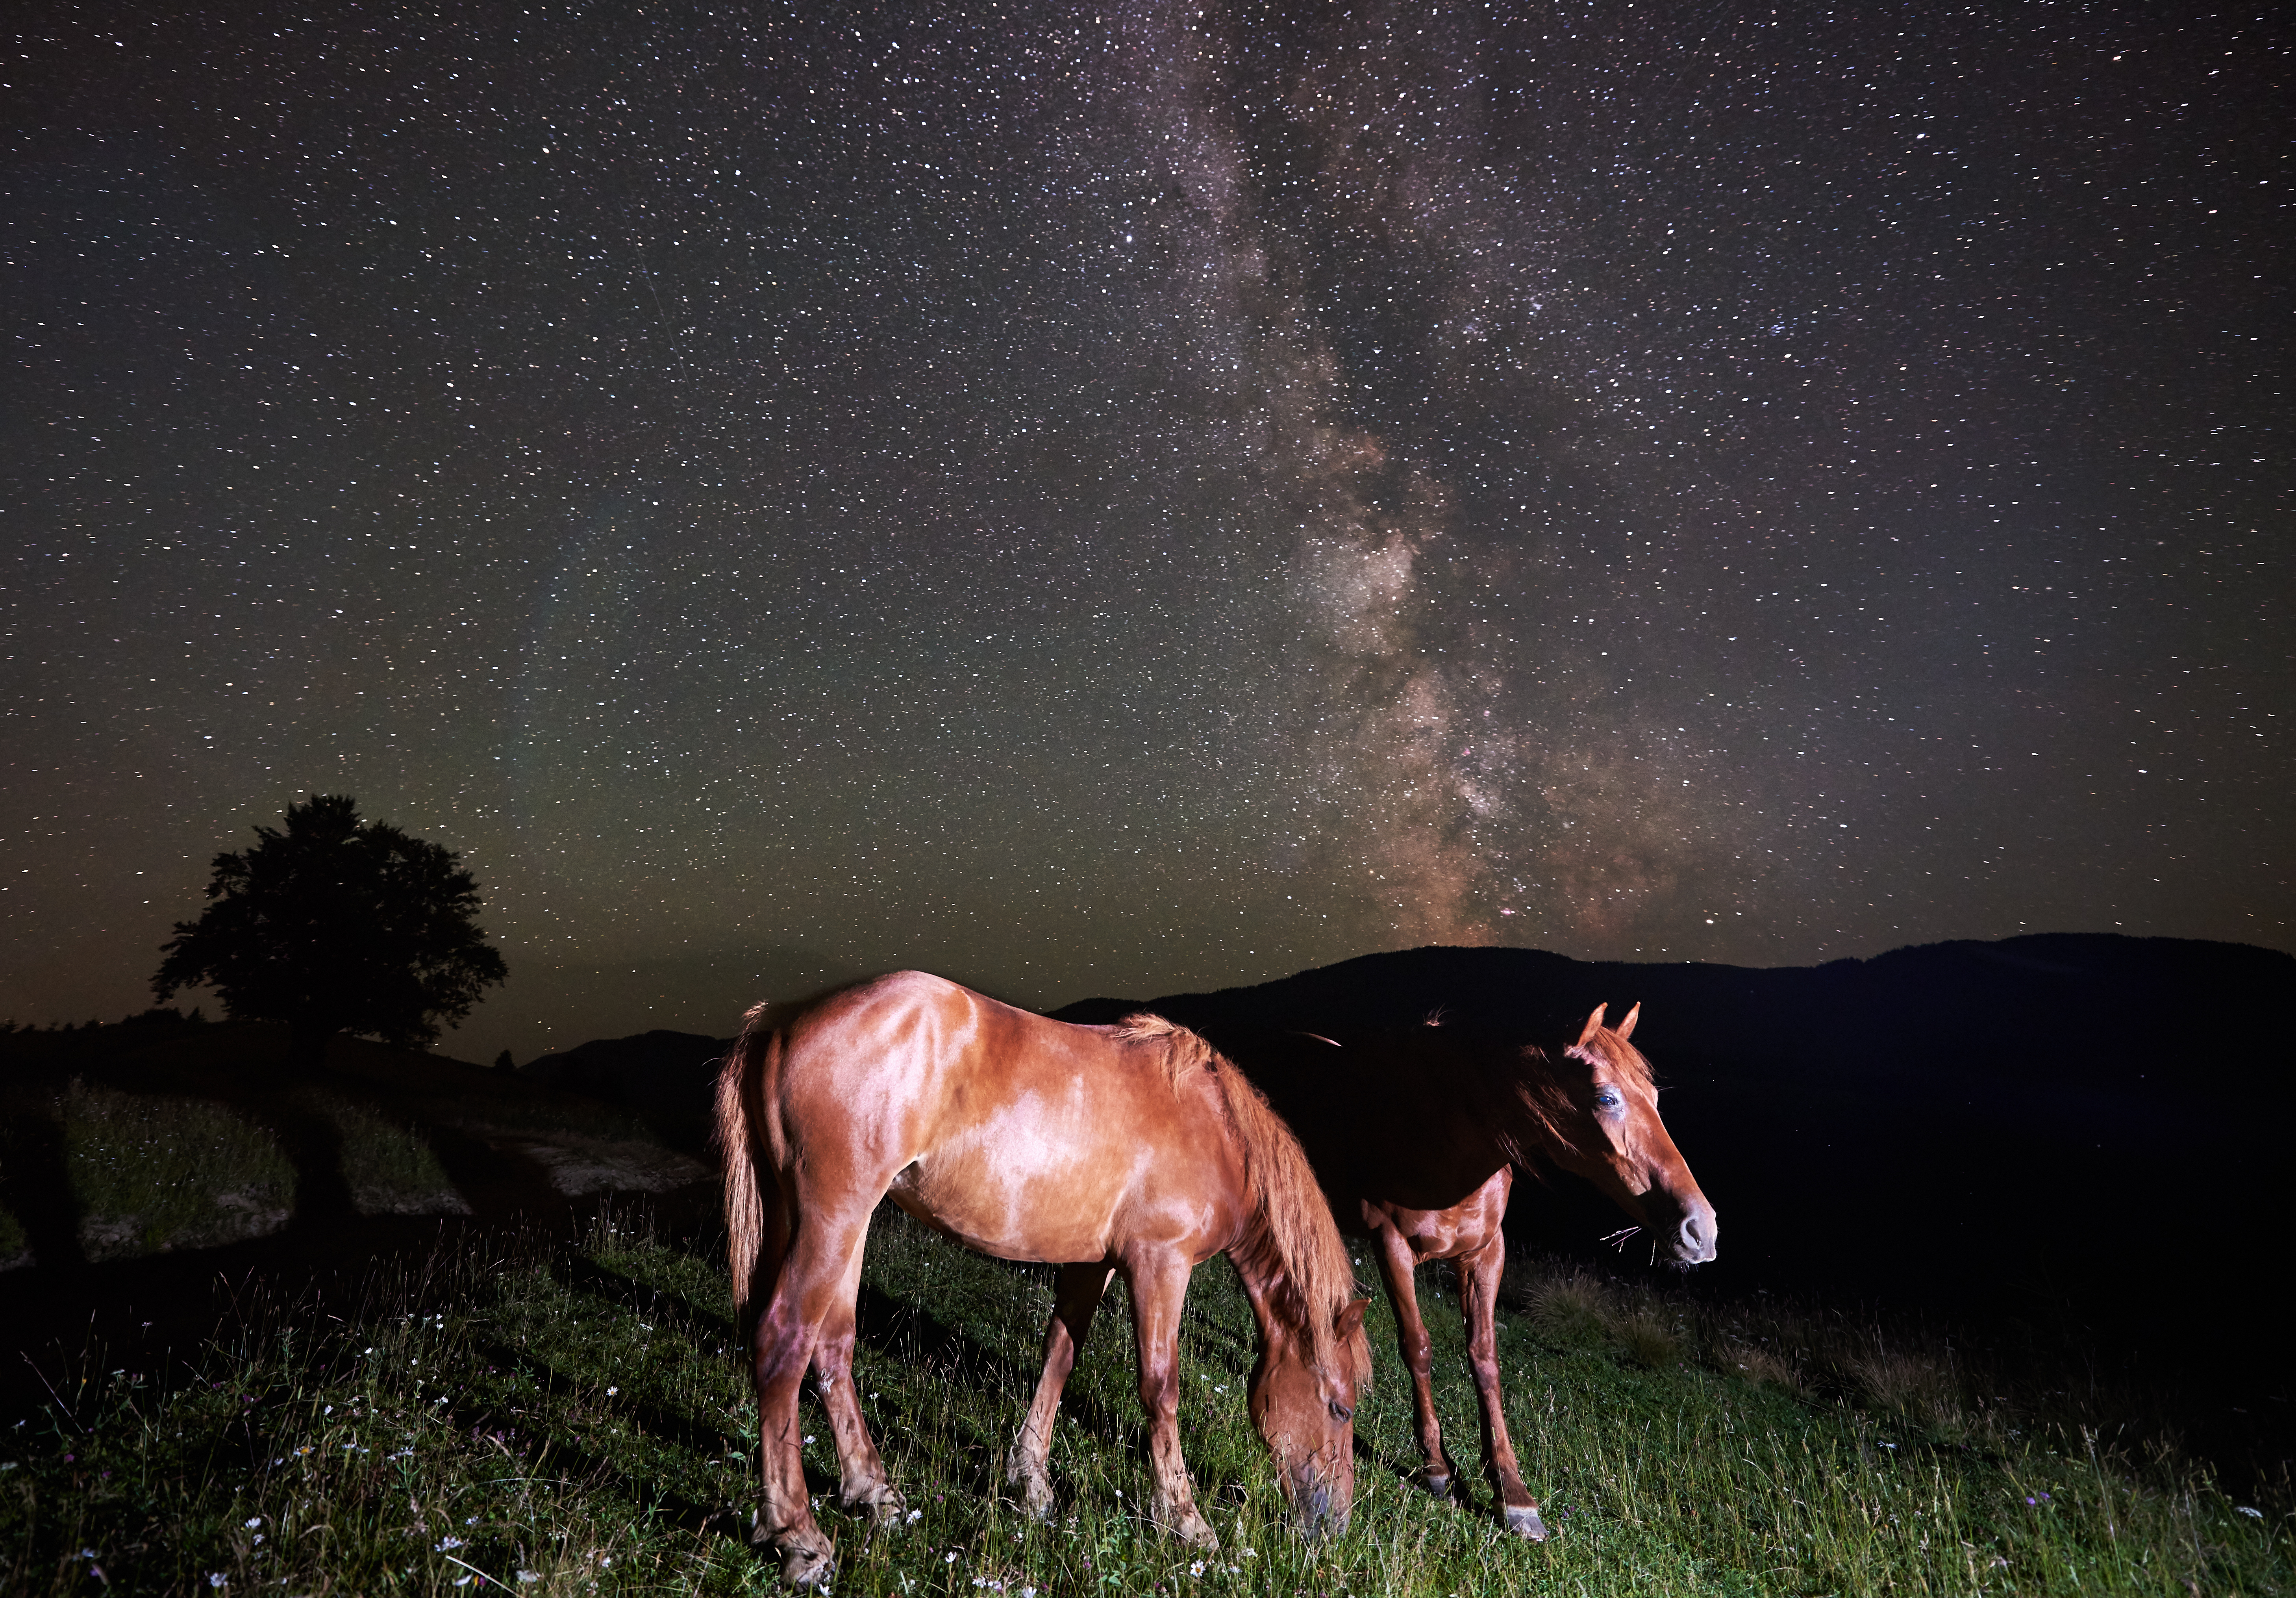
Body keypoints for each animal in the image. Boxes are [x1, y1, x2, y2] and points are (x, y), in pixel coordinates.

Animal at [714, 971, 1372, 1589]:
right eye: (1339, 1408)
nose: (1335, 1526)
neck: (1216, 1130)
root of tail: (785, 1018)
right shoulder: (1162, 1264)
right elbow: (1161, 1389)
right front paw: (1185, 1520)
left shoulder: (1094, 1263)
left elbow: (1059, 1356)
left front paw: (1031, 1483)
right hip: (832, 1216)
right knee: (784, 1342)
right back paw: (799, 1536)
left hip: (839, 1222)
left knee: (832, 1347)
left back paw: (874, 1492)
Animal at [1225, 1002, 1717, 1540]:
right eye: (1606, 1097)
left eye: (1654, 1096)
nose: (1702, 1230)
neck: (1447, 1140)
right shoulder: (1391, 1246)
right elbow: (1418, 1346)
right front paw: (1437, 1466)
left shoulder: (1486, 1254)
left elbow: (1485, 1356)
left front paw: (1512, 1491)